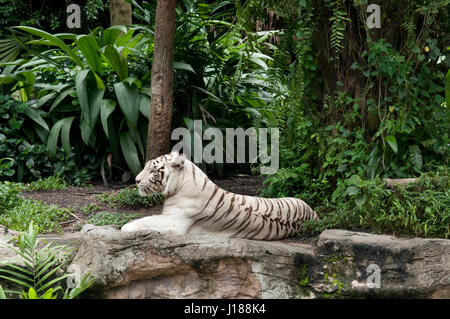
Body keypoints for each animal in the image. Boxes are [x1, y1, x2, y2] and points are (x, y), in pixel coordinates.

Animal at [121, 152, 318, 240]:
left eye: (153, 170)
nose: (136, 180)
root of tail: (313, 213)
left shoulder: (174, 221)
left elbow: (144, 220)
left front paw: (125, 227)